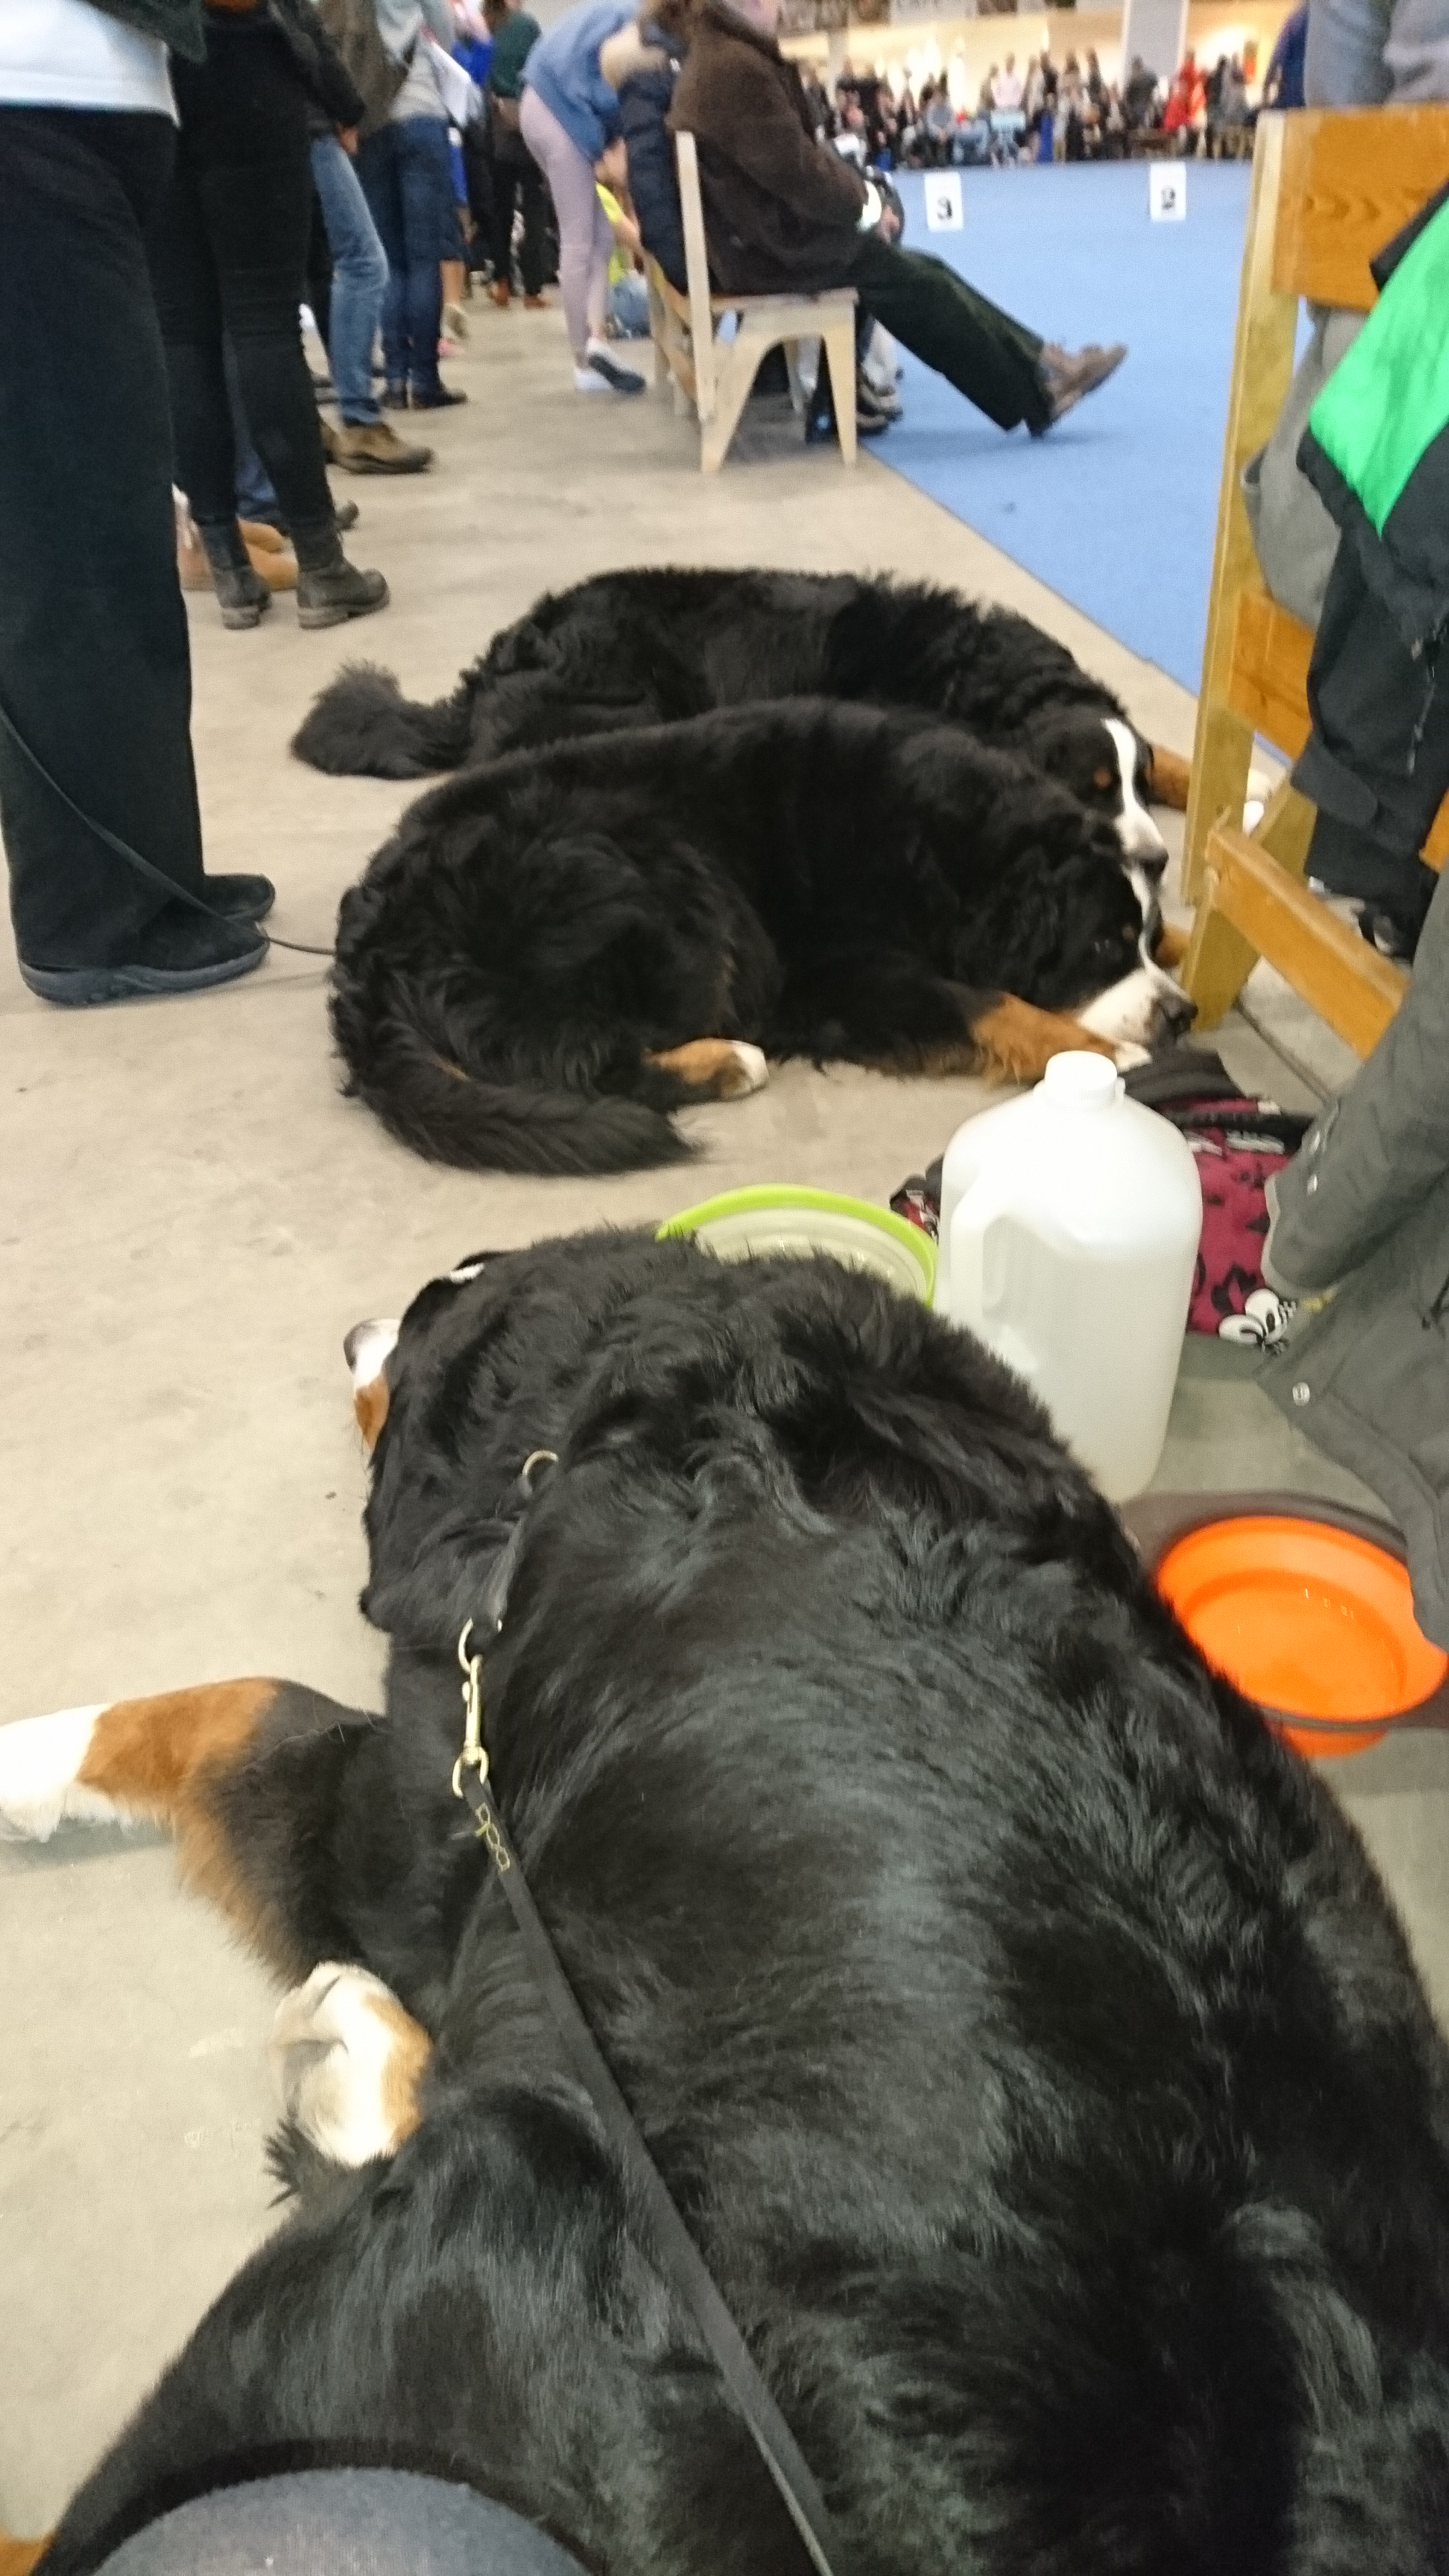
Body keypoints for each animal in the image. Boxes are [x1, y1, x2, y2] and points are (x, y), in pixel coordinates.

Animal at [292, 565, 1184, 862]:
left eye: (1133, 785)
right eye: (1089, 790)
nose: (1154, 859)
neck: (979, 677)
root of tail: (502, 657)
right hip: (628, 703)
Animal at [330, 697, 1192, 1175]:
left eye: (1142, 938)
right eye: (1101, 947)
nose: (1180, 1015)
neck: (946, 844)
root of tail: (376, 928)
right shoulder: (834, 973)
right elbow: (987, 1002)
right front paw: (1101, 1054)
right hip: (660, 884)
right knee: (581, 1062)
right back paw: (727, 1062)